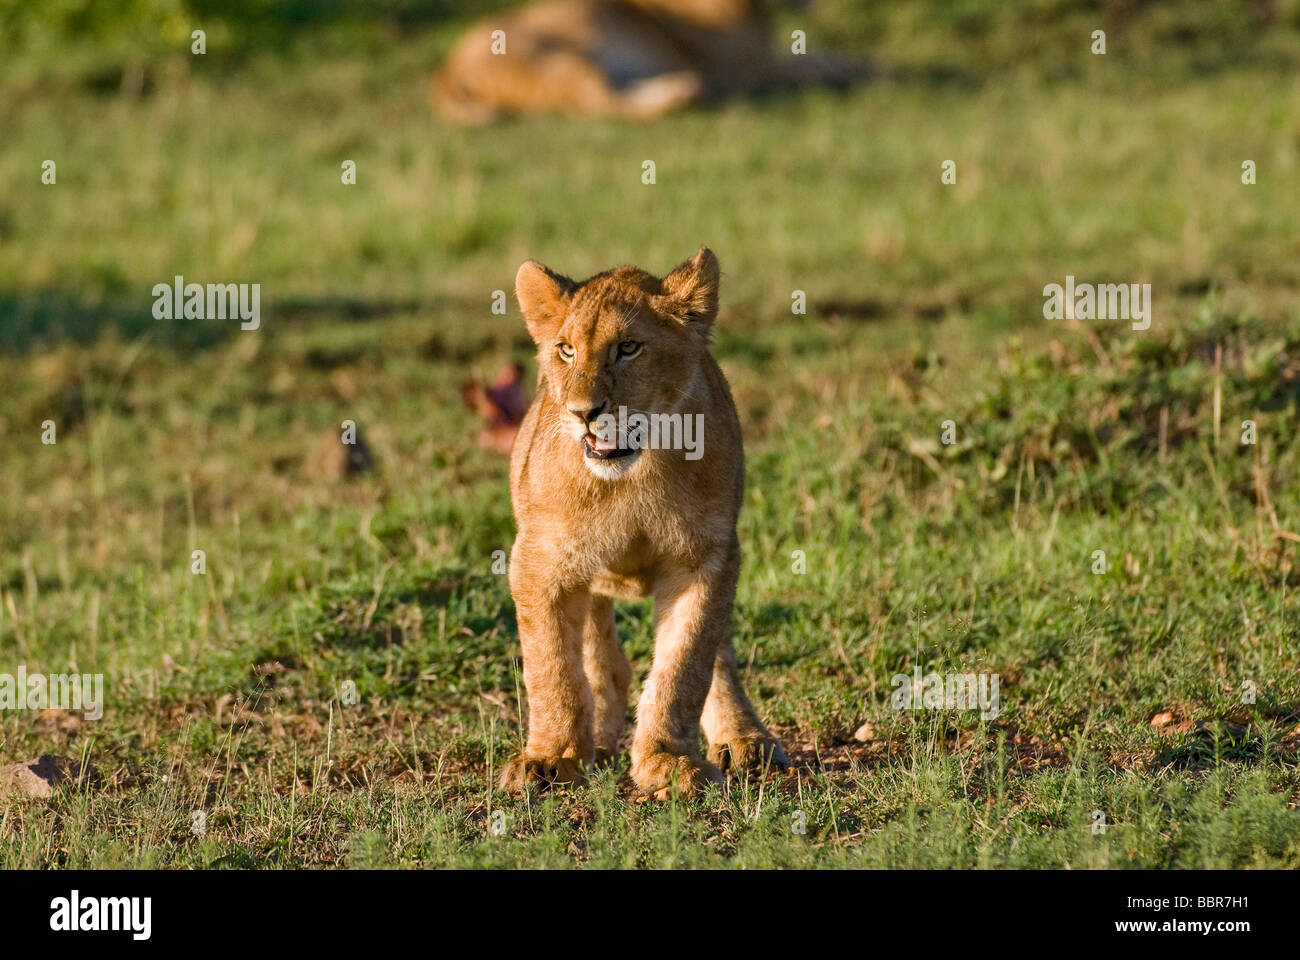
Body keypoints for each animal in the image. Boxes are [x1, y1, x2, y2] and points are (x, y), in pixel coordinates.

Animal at [433, 0, 865, 123]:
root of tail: (445, 71)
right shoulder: (750, 68)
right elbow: (819, 69)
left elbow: (835, 58)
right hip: (563, 58)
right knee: (594, 102)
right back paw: (682, 96)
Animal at [500, 246, 788, 797]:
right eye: (566, 351)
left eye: (628, 348)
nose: (583, 412)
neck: (633, 477)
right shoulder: (539, 561)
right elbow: (553, 667)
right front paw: (550, 759)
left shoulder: (706, 559)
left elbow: (685, 665)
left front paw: (666, 761)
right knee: (600, 658)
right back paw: (598, 739)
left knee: (718, 657)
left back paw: (745, 738)